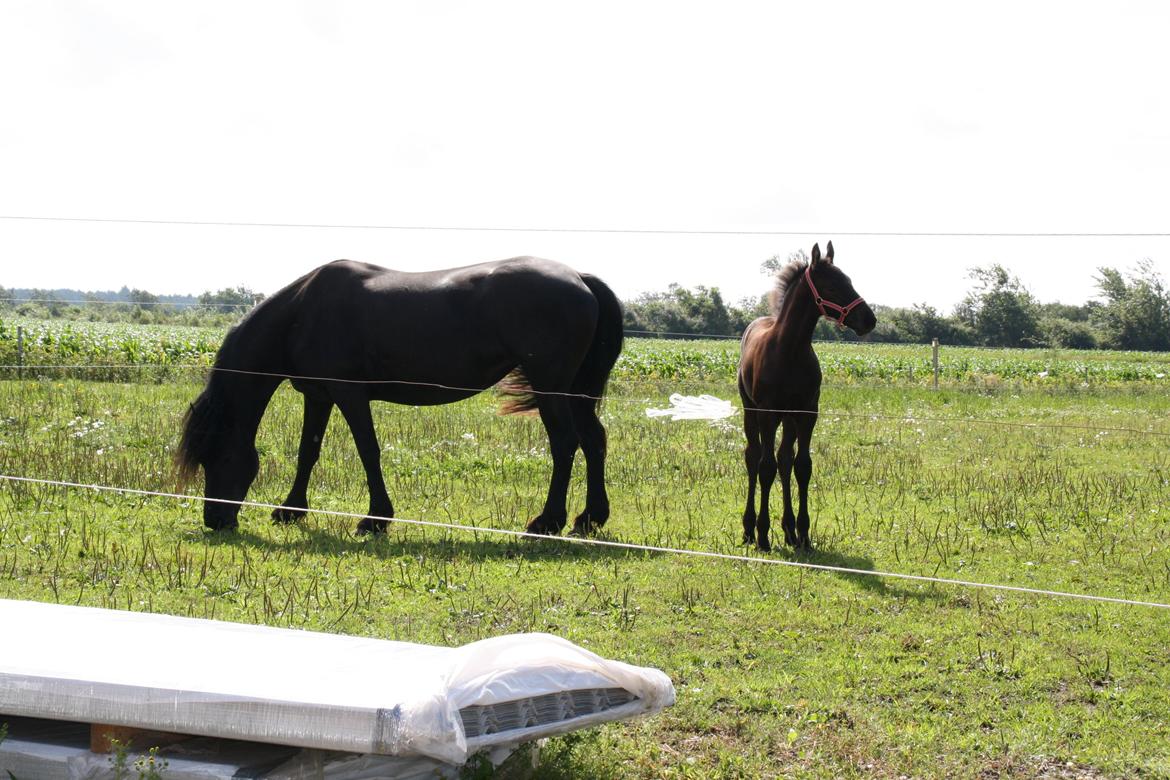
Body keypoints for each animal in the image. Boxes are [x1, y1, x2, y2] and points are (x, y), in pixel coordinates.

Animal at [174, 256, 627, 537]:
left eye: (219, 456)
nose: (215, 519)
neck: (302, 312)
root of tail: (579, 278)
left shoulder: (350, 395)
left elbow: (368, 451)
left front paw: (375, 519)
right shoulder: (318, 396)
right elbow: (308, 452)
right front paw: (291, 510)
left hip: (552, 388)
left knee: (565, 443)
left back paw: (547, 522)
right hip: (576, 391)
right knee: (594, 441)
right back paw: (589, 519)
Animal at [734, 240, 875, 551]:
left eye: (849, 281)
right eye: (832, 286)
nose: (869, 320)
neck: (790, 350)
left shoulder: (808, 413)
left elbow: (802, 466)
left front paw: (804, 534)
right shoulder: (768, 413)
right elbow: (765, 467)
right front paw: (763, 535)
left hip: (789, 419)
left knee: (785, 460)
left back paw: (788, 530)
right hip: (752, 411)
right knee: (753, 457)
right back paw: (749, 529)